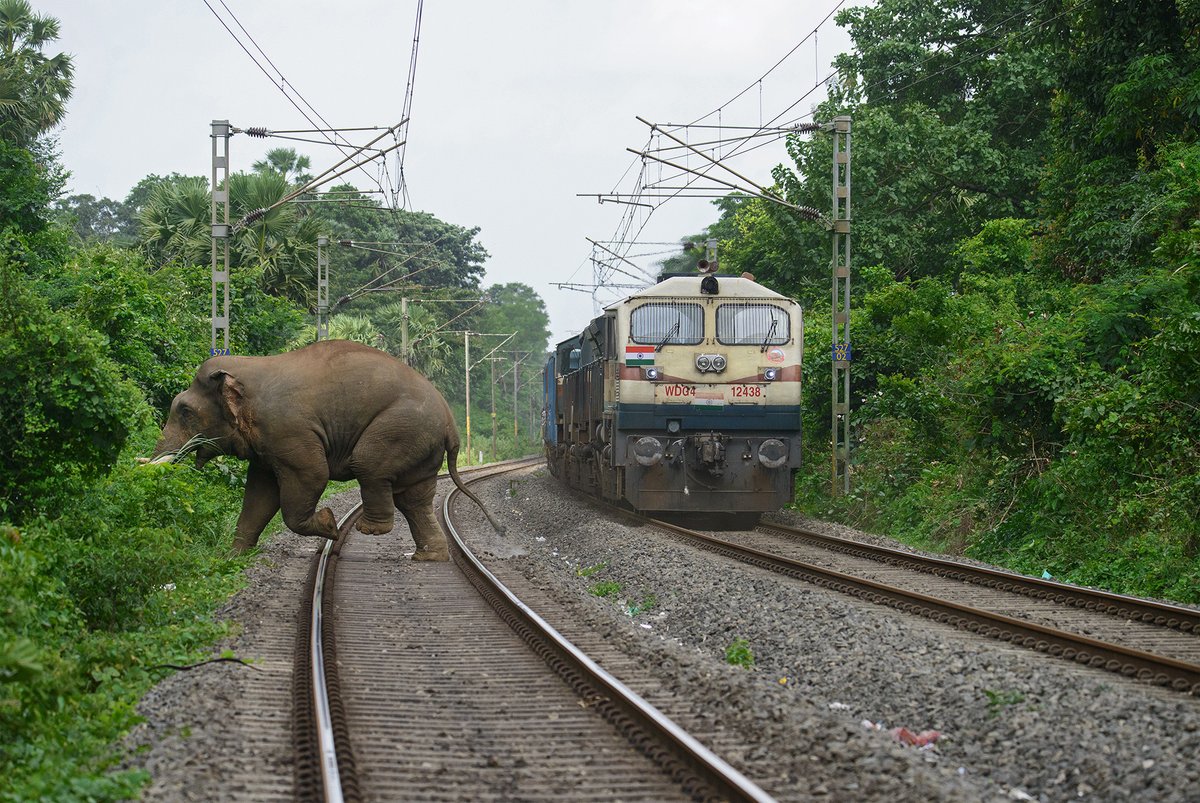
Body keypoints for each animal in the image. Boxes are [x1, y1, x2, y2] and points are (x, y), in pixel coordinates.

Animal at [145, 339, 504, 559]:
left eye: (185, 411)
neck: (249, 370)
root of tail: (451, 423)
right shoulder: (268, 444)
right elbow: (259, 492)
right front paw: (233, 557)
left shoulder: (289, 430)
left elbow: (310, 476)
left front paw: (330, 525)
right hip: (422, 446)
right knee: (414, 499)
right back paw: (428, 556)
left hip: (402, 430)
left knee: (369, 466)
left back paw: (368, 529)